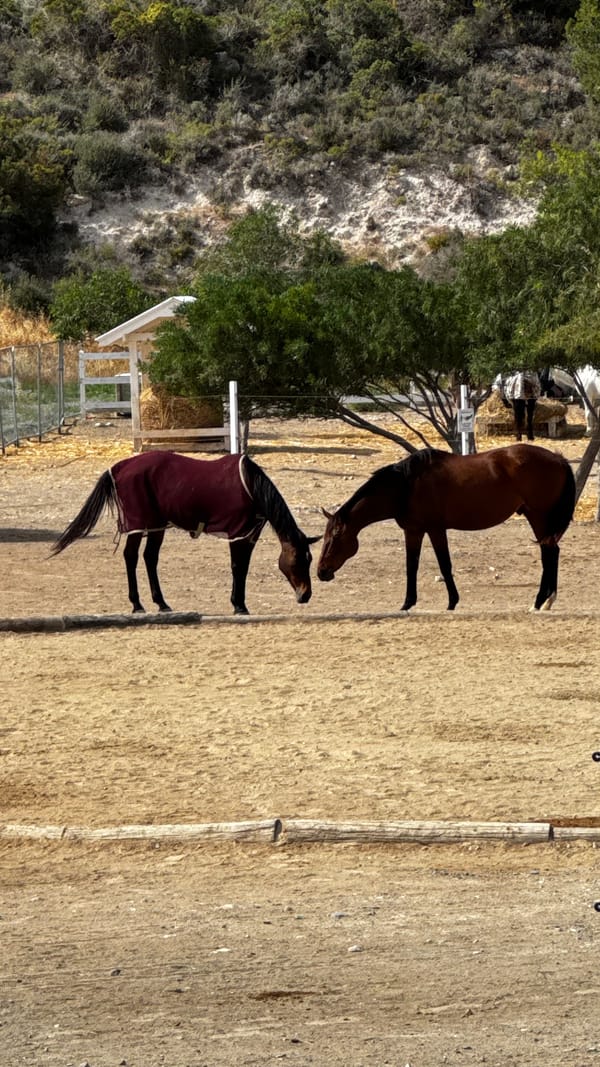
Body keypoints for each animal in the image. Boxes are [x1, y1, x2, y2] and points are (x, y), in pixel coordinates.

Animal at [52, 451, 320, 614]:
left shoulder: (249, 534)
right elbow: (237, 567)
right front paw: (239, 605)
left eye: (310, 559)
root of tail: (118, 467)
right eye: (298, 559)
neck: (252, 486)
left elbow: (243, 567)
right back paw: (137, 604)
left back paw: (161, 603)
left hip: (156, 525)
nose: (306, 595)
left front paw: (239, 603)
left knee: (150, 558)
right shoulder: (237, 532)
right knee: (131, 557)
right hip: (138, 525)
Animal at [317, 444, 575, 612]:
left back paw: (540, 602)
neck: (405, 486)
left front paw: (452, 602)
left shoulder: (435, 529)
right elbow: (411, 566)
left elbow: (444, 565)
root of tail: (558, 458)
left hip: (538, 516)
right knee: (551, 552)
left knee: (549, 553)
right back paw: (545, 601)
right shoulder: (413, 531)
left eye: (333, 538)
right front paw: (407, 603)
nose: (321, 572)